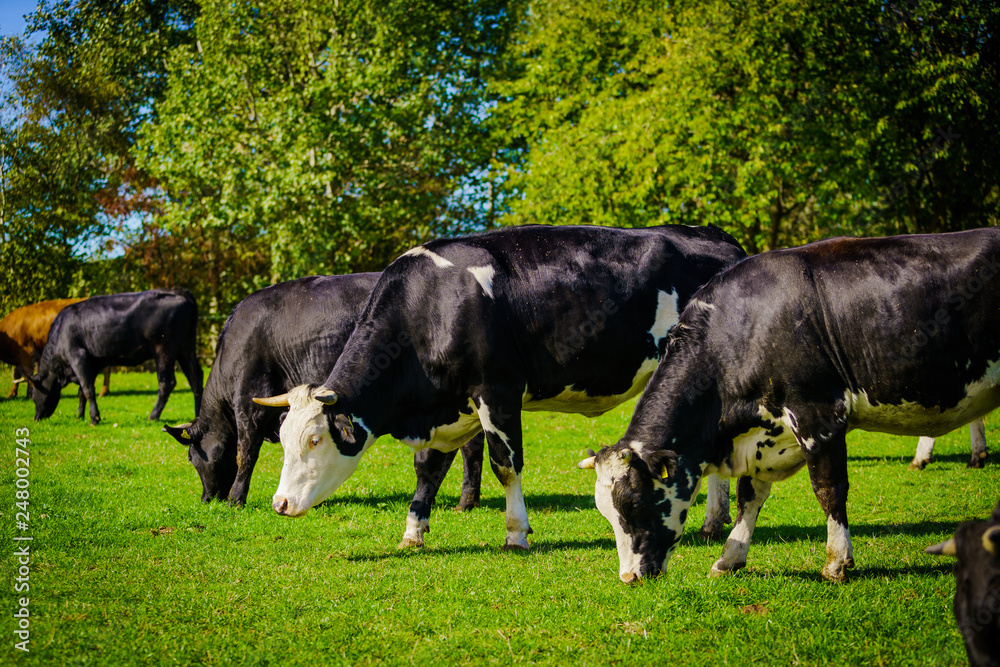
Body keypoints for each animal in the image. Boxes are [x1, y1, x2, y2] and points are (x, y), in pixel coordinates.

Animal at [31, 289, 203, 425]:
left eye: (33, 396)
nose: (36, 418)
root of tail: (177, 292)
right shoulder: (93, 362)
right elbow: (82, 391)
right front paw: (79, 415)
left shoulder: (77, 355)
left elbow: (87, 389)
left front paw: (94, 418)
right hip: (186, 348)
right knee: (195, 378)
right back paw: (197, 414)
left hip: (164, 350)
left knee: (167, 383)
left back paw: (153, 416)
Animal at [253, 224, 747, 550]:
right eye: (283, 439)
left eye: (315, 440)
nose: (279, 503)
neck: (431, 305)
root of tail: (714, 236)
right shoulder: (451, 407)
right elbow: (428, 470)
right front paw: (413, 532)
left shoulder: (497, 391)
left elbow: (505, 466)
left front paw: (516, 533)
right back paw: (713, 522)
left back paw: (711, 521)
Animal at [578, 227, 1000, 583]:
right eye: (605, 513)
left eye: (634, 503)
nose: (629, 577)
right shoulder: (763, 432)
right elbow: (749, 496)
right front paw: (729, 557)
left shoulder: (818, 414)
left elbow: (829, 489)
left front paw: (836, 563)